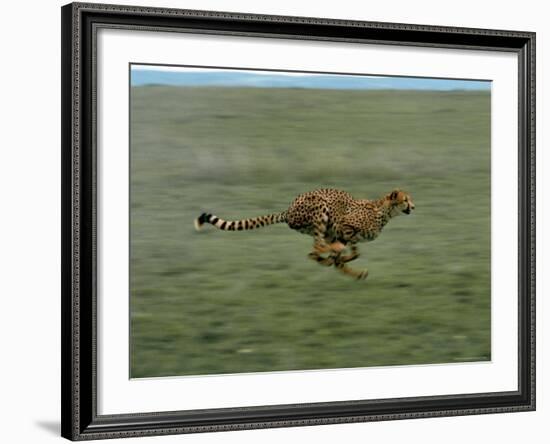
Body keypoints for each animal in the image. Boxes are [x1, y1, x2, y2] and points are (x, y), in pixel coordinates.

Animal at [196, 188, 416, 280]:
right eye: (405, 200)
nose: (413, 207)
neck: (383, 211)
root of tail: (288, 210)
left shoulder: (347, 235)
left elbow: (354, 253)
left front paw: (347, 262)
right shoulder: (343, 225)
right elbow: (344, 250)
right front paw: (339, 257)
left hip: (322, 227)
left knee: (314, 251)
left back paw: (335, 263)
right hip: (321, 209)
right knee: (317, 246)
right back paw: (329, 256)